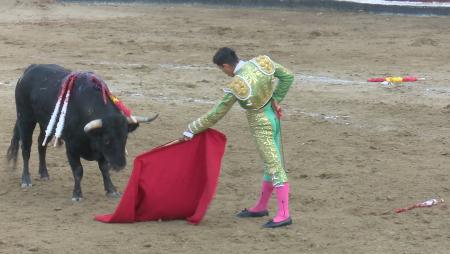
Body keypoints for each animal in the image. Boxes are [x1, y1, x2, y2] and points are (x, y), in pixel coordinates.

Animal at [5, 64, 158, 201]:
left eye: (125, 138)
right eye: (107, 140)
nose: (120, 165)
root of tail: (29, 70)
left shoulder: (101, 152)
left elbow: (104, 168)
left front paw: (111, 190)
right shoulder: (72, 148)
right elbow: (78, 170)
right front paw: (77, 194)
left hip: (47, 123)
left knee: (41, 144)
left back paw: (44, 174)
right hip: (25, 118)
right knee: (26, 148)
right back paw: (26, 180)